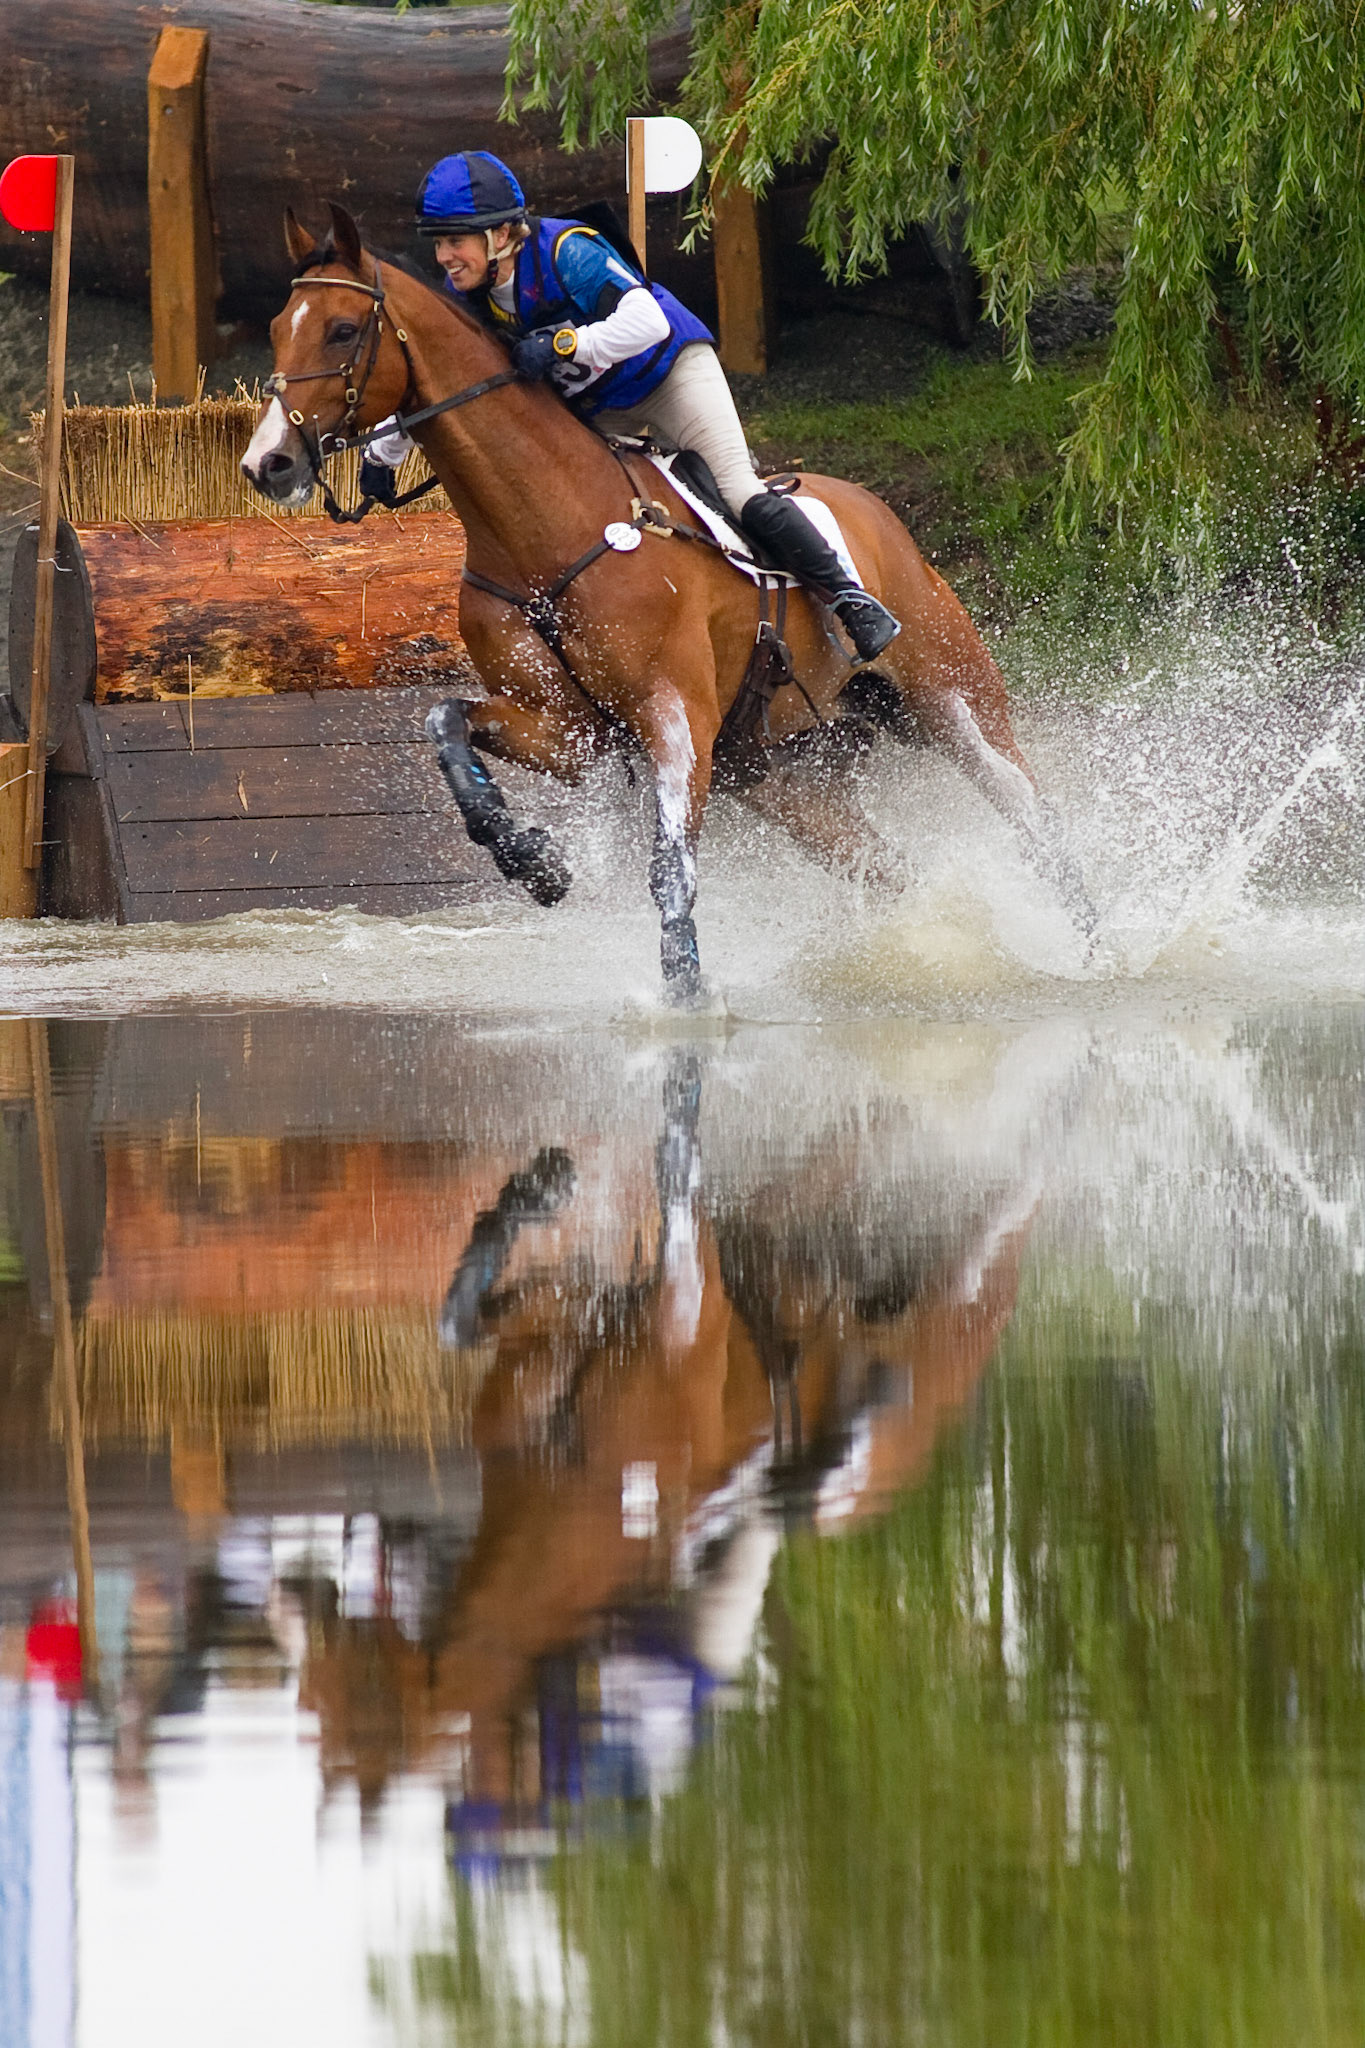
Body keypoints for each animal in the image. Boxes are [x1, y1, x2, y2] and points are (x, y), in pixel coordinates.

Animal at [242, 202, 1094, 1002]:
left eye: (342, 330)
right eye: (279, 329)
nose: (266, 464)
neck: (542, 531)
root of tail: (882, 518)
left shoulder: (672, 714)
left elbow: (669, 866)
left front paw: (682, 994)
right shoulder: (571, 733)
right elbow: (444, 722)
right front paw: (533, 862)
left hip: (949, 706)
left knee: (1035, 820)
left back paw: (1094, 947)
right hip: (786, 776)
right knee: (888, 869)